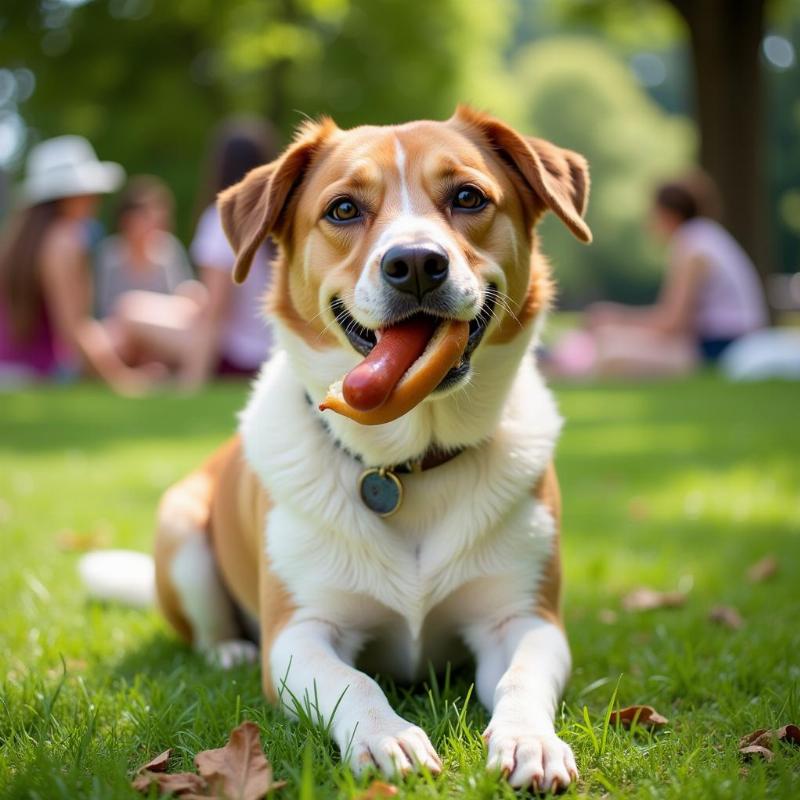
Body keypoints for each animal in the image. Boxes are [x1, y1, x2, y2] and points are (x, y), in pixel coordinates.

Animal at [153, 109, 592, 792]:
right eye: (343, 209)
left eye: (469, 197)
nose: (415, 262)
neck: (405, 462)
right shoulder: (300, 634)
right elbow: (352, 681)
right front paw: (389, 738)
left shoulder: (523, 620)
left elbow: (521, 678)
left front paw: (530, 742)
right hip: (180, 532)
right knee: (208, 627)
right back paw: (227, 648)